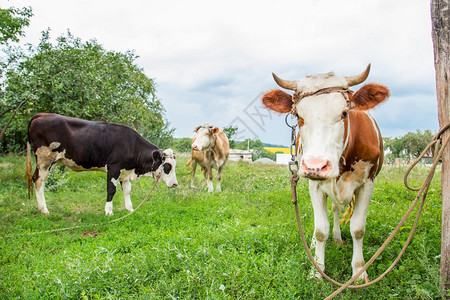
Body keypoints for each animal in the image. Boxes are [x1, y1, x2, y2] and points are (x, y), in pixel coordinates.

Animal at [25, 113, 178, 216]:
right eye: (167, 166)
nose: (175, 184)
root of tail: (42, 115)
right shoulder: (114, 167)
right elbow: (111, 189)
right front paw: (109, 211)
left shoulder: (125, 171)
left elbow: (127, 190)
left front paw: (130, 208)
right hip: (45, 159)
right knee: (38, 180)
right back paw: (44, 210)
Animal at [262, 64, 388, 282]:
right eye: (298, 116)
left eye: (344, 113)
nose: (315, 166)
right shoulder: (315, 185)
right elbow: (321, 229)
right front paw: (317, 270)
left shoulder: (368, 183)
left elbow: (357, 229)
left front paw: (359, 272)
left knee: (337, 210)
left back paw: (337, 237)